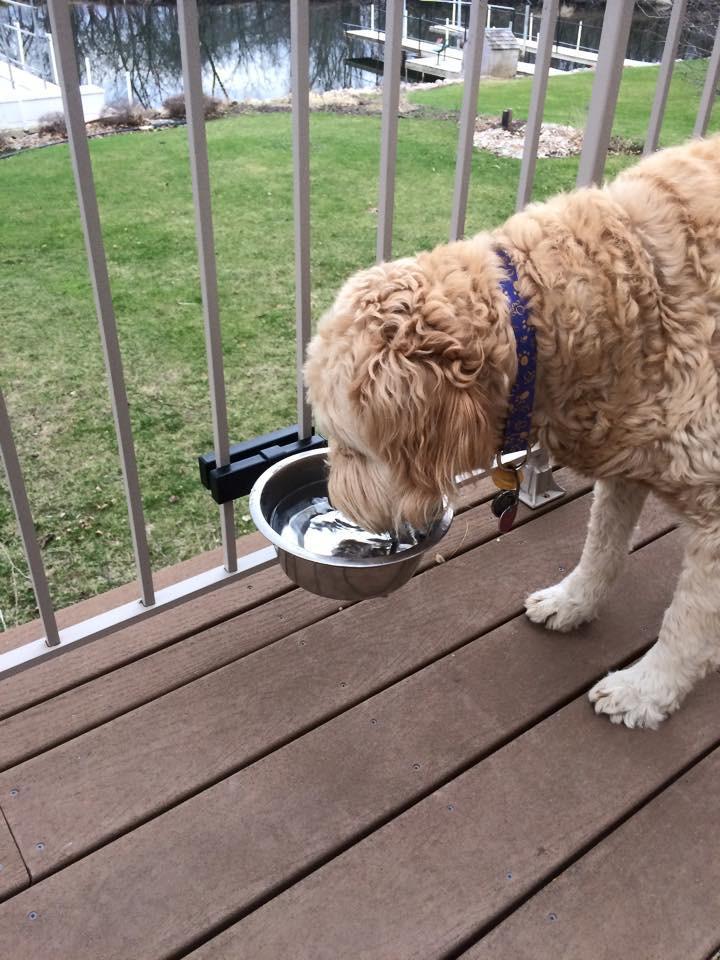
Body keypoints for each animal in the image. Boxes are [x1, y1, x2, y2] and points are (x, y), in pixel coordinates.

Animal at [304, 137, 720, 728]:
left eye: (350, 447)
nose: (342, 507)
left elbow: (686, 624)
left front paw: (645, 691)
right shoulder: (627, 460)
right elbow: (602, 548)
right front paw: (574, 602)